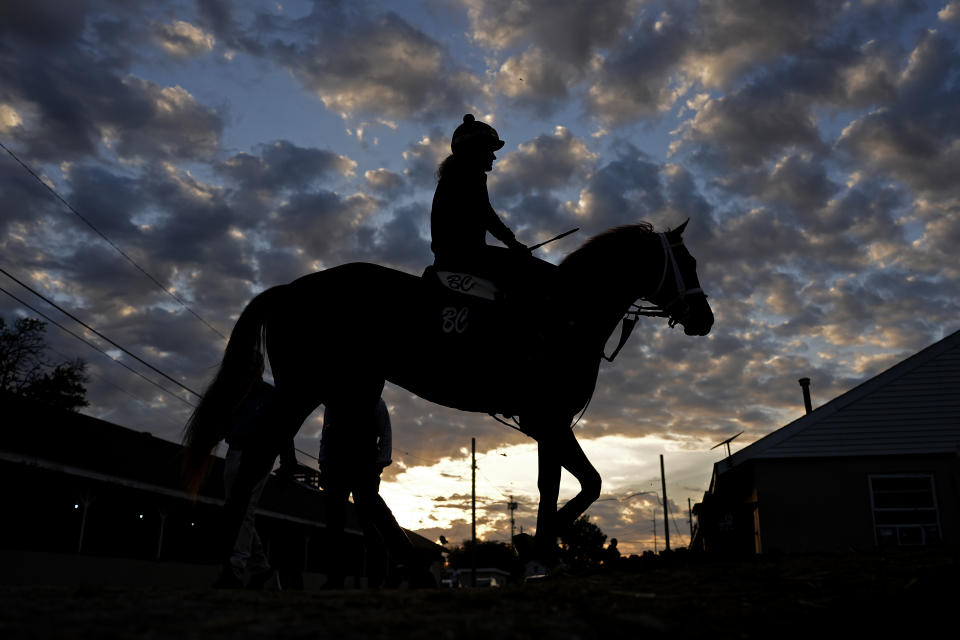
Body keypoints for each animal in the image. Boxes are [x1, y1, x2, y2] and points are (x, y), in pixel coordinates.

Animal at [184, 220, 712, 560]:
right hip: (304, 389)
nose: (705, 318)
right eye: (686, 262)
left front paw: (538, 556)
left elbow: (553, 487)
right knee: (263, 459)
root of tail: (290, 289)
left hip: (351, 391)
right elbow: (590, 483)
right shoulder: (549, 419)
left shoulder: (549, 424)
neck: (567, 313)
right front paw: (534, 550)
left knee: (349, 480)